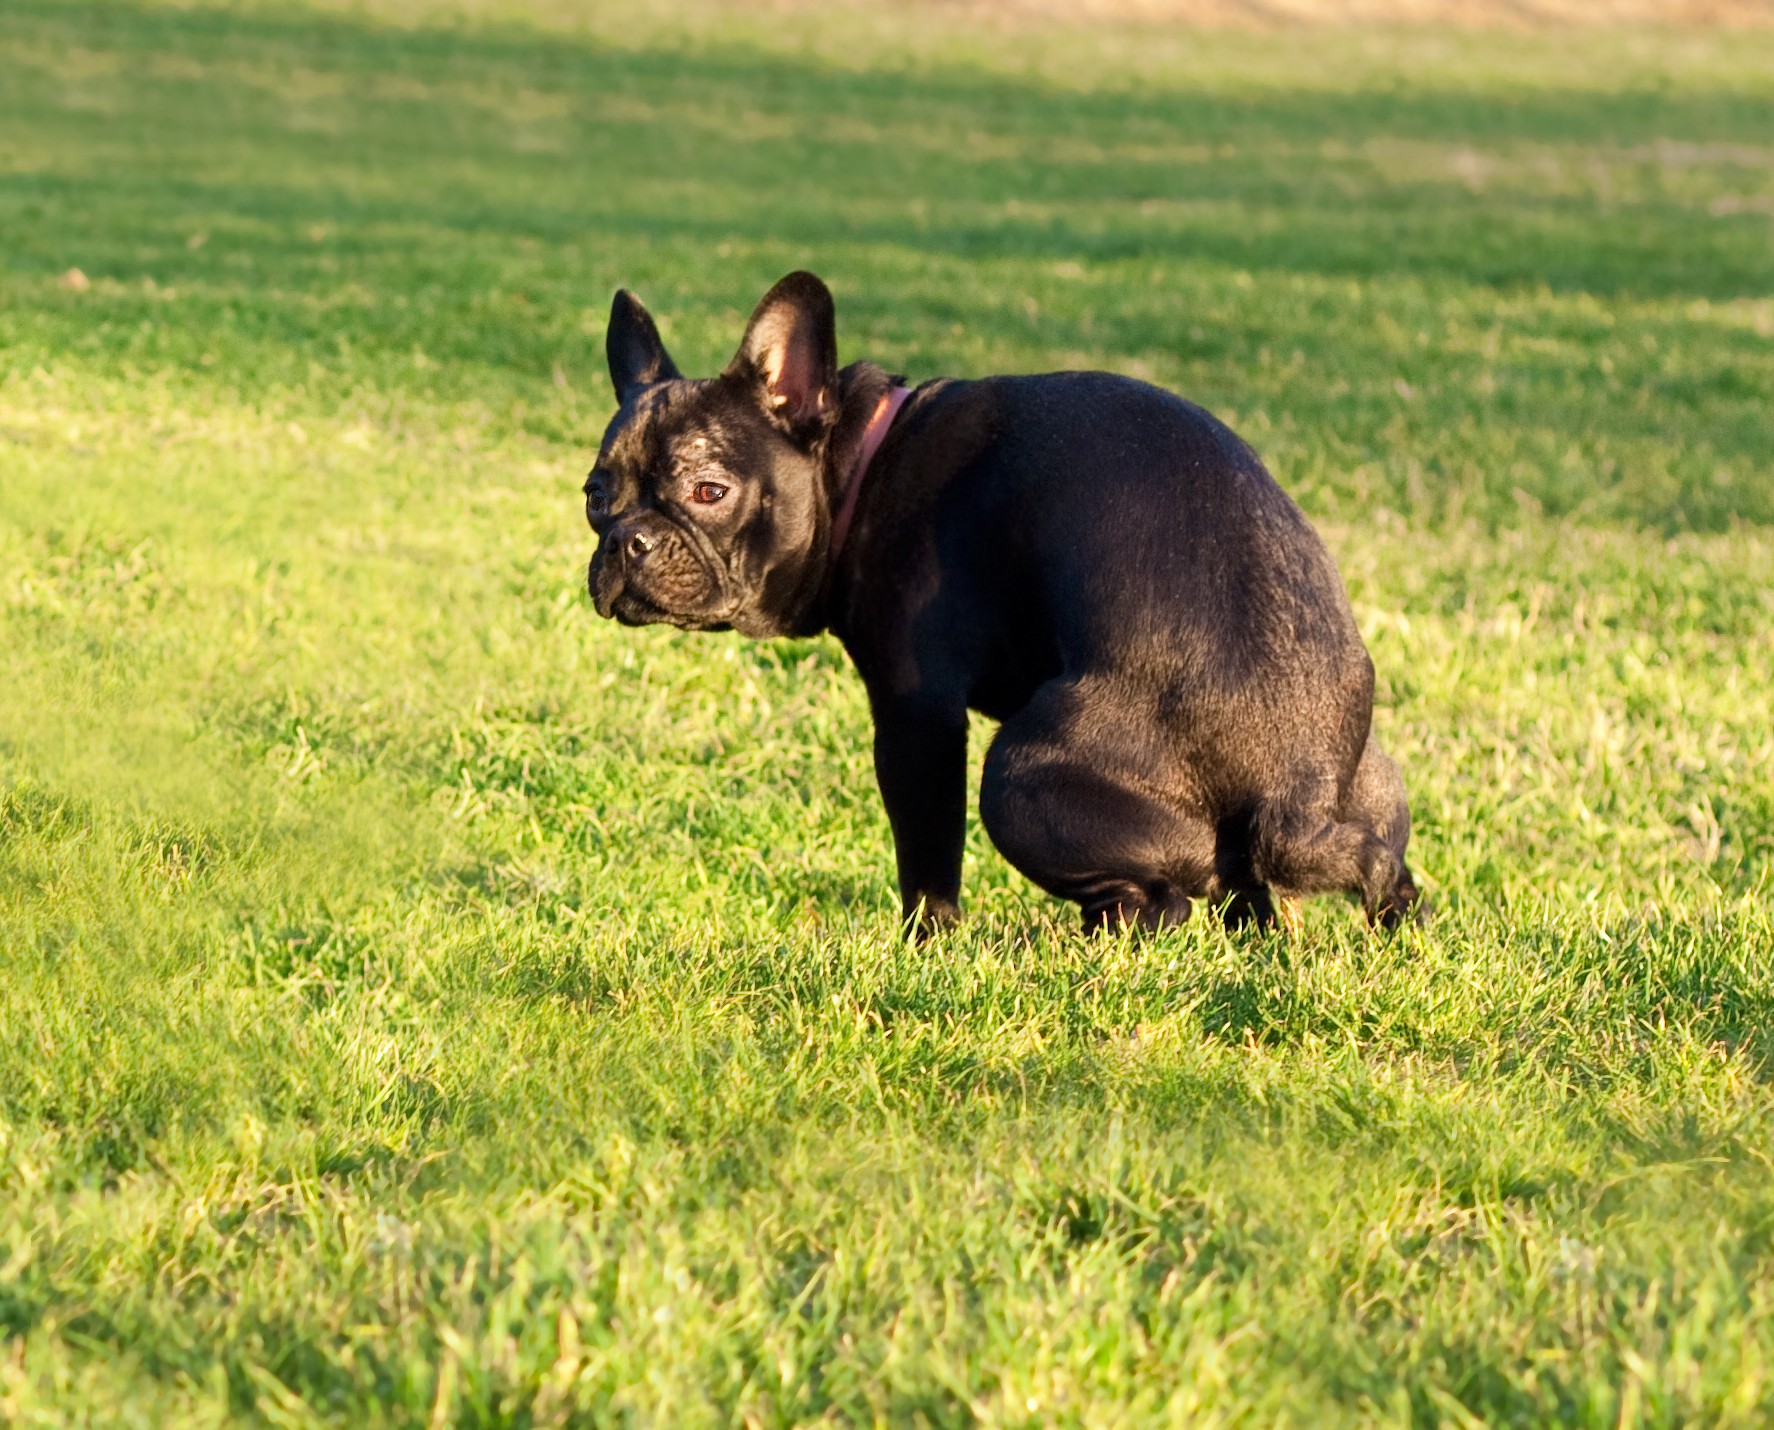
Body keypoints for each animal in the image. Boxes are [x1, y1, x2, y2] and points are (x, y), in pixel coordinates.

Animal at [588, 273, 1419, 936]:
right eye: (596, 496)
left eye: (708, 492)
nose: (629, 541)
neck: (858, 463)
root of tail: (1299, 791)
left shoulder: (916, 715)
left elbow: (927, 851)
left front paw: (927, 942)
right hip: (1374, 788)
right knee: (1357, 874)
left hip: (1019, 777)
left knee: (1165, 902)